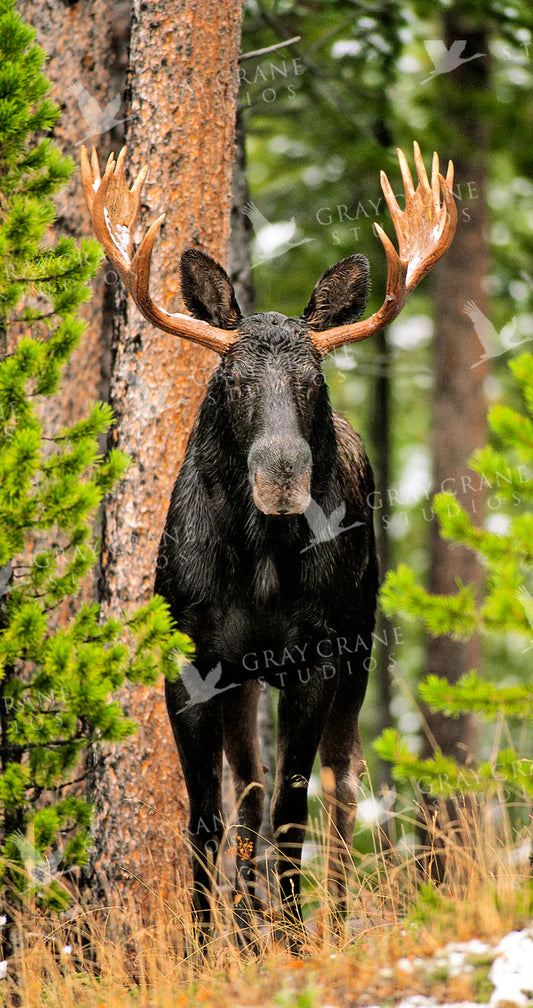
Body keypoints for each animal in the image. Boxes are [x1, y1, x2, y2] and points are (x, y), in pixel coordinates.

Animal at [81, 141, 456, 948]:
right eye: (231, 378)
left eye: (313, 378)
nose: (283, 472)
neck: (255, 570)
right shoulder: (190, 659)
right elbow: (210, 816)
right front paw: (202, 946)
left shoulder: (316, 657)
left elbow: (293, 811)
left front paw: (291, 937)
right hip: (245, 679)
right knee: (249, 795)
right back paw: (248, 924)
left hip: (358, 643)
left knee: (342, 786)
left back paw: (325, 917)